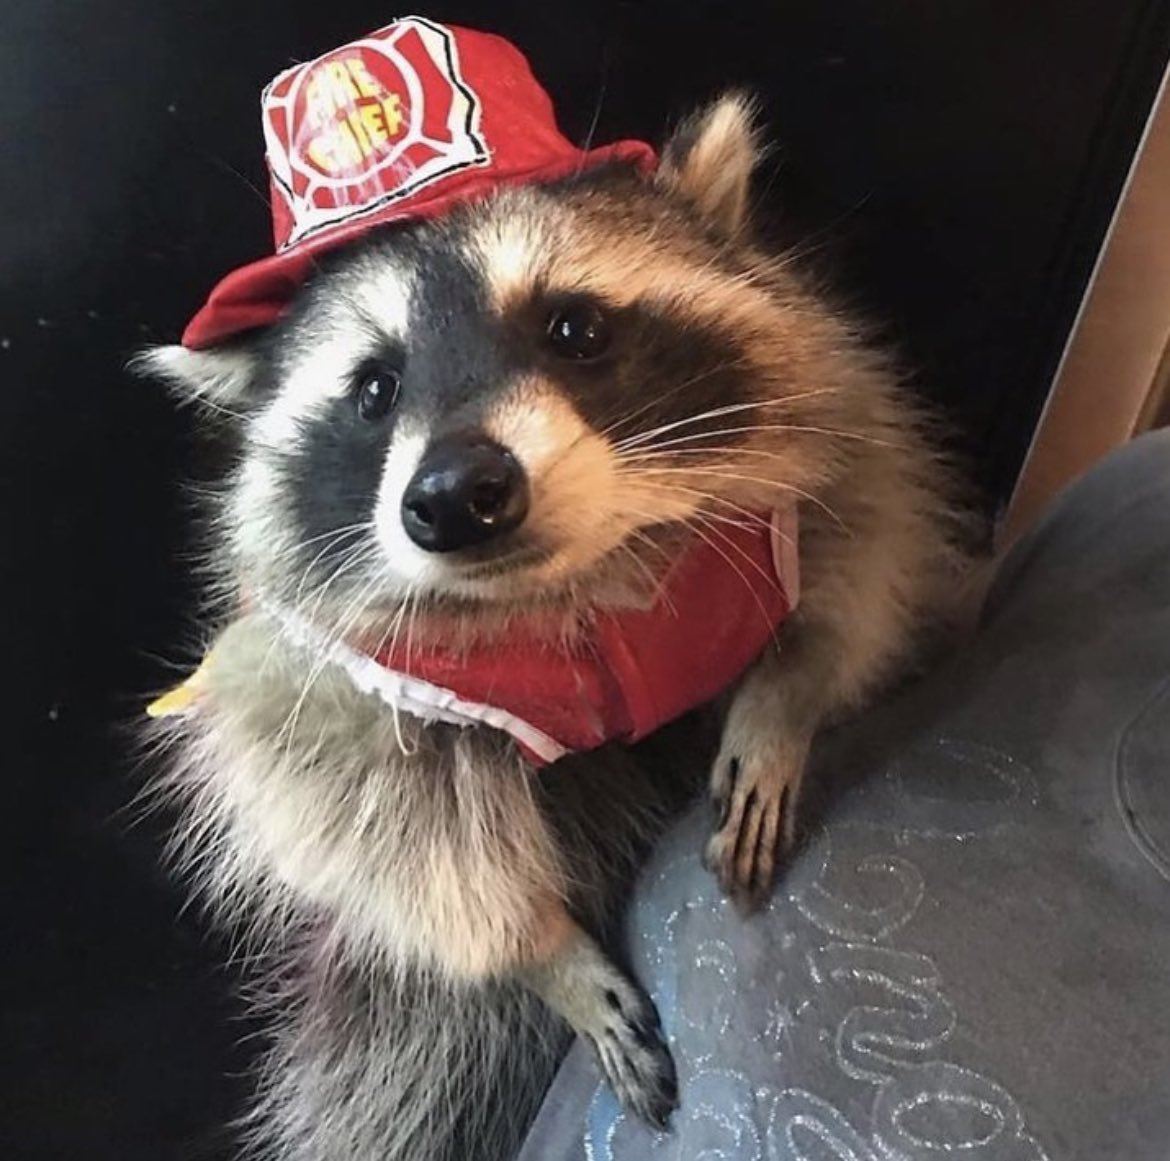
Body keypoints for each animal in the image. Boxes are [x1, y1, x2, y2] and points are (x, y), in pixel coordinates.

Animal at [139, 93, 968, 1161]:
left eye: (574, 326)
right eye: (374, 390)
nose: (455, 495)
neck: (582, 576)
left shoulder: (826, 443)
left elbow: (864, 560)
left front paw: (787, 696)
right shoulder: (325, 670)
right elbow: (365, 831)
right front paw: (542, 948)